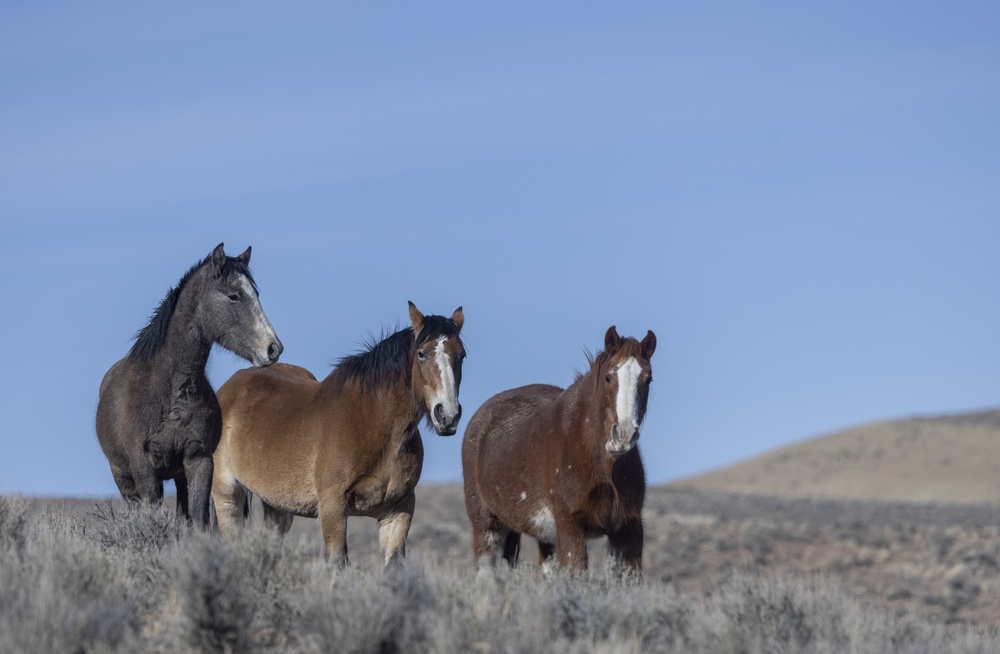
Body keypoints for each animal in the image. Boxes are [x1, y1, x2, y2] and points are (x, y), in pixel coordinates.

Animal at [96, 243, 283, 528]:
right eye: (234, 296)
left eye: (256, 294)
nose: (273, 348)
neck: (169, 393)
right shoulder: (145, 468)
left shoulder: (198, 461)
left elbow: (197, 518)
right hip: (124, 478)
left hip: (179, 476)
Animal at [212, 301, 466, 566]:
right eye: (421, 354)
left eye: (462, 355)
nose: (447, 416)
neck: (374, 423)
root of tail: (227, 388)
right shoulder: (332, 507)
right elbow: (337, 560)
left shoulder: (398, 511)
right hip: (227, 496)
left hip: (277, 505)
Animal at [462, 326, 656, 579]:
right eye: (608, 377)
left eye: (648, 379)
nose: (623, 436)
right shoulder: (570, 527)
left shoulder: (628, 530)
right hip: (487, 528)